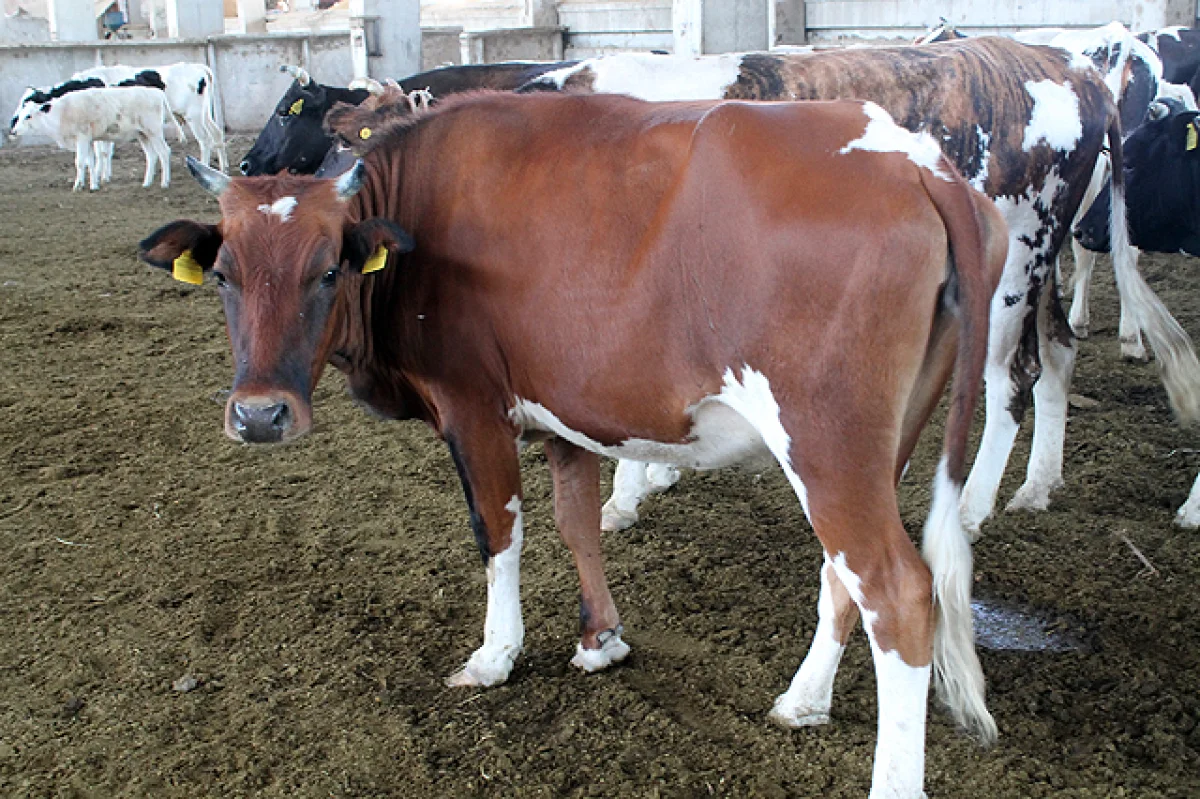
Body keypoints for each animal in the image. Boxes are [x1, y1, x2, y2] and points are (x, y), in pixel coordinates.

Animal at [9, 87, 182, 191]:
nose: (14, 131)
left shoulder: (82, 137)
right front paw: (93, 184)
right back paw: (146, 183)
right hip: (143, 134)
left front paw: (78, 186)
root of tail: (157, 92)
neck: (61, 113)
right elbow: (90, 162)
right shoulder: (88, 140)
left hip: (154, 131)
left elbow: (79, 162)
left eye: (28, 116)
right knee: (151, 155)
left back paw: (164, 183)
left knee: (164, 152)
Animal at [523, 38, 1200, 535]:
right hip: (1047, 255)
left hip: (1017, 258)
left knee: (1015, 375)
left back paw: (972, 510)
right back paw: (1037, 486)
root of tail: (1069, 64)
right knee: (1059, 347)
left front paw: (626, 494)